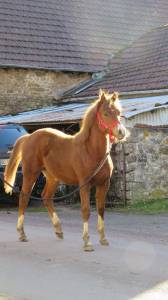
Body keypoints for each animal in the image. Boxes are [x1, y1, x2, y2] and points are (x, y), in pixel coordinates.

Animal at [3, 90, 126, 252]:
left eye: (118, 113)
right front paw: (87, 242)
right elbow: (86, 210)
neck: (92, 151)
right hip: (30, 174)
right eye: (105, 113)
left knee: (46, 197)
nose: (121, 132)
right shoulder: (84, 185)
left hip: (53, 177)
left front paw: (103, 239)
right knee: (24, 198)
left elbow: (101, 209)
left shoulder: (103, 184)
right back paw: (22, 233)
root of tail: (28, 136)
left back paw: (59, 230)